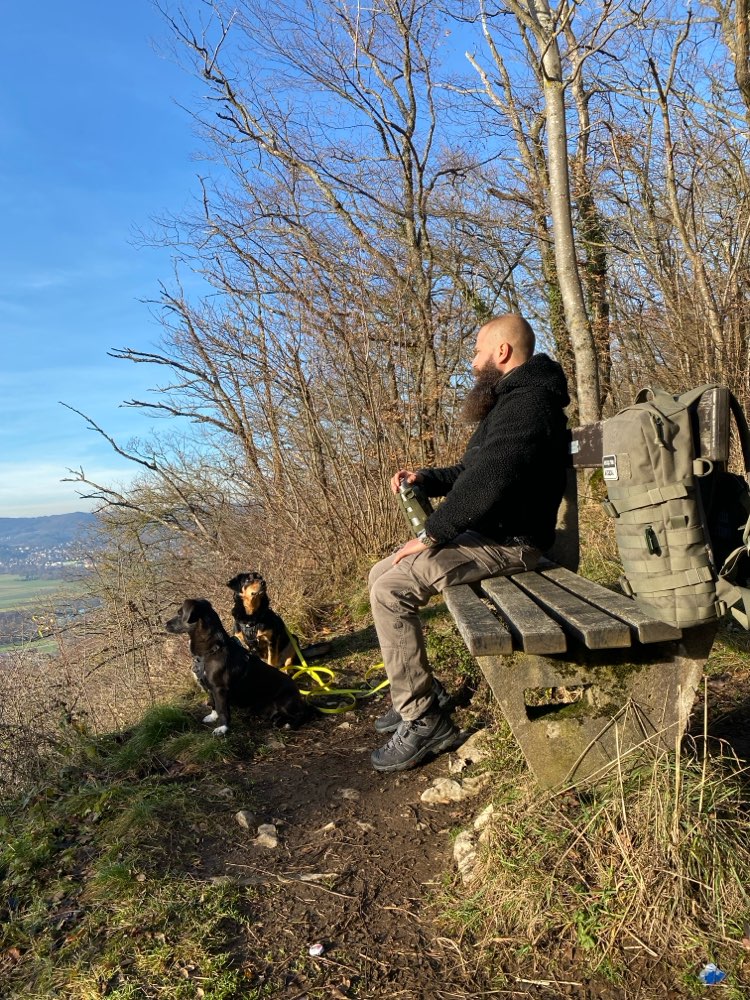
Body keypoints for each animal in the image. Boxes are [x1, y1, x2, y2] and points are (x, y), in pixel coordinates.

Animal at [166, 592, 310, 736]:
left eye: (180, 613)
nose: (165, 624)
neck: (211, 650)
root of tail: (298, 693)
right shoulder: (209, 687)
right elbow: (213, 703)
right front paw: (213, 716)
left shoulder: (220, 689)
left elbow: (222, 710)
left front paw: (222, 727)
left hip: (284, 702)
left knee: (303, 713)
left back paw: (289, 724)